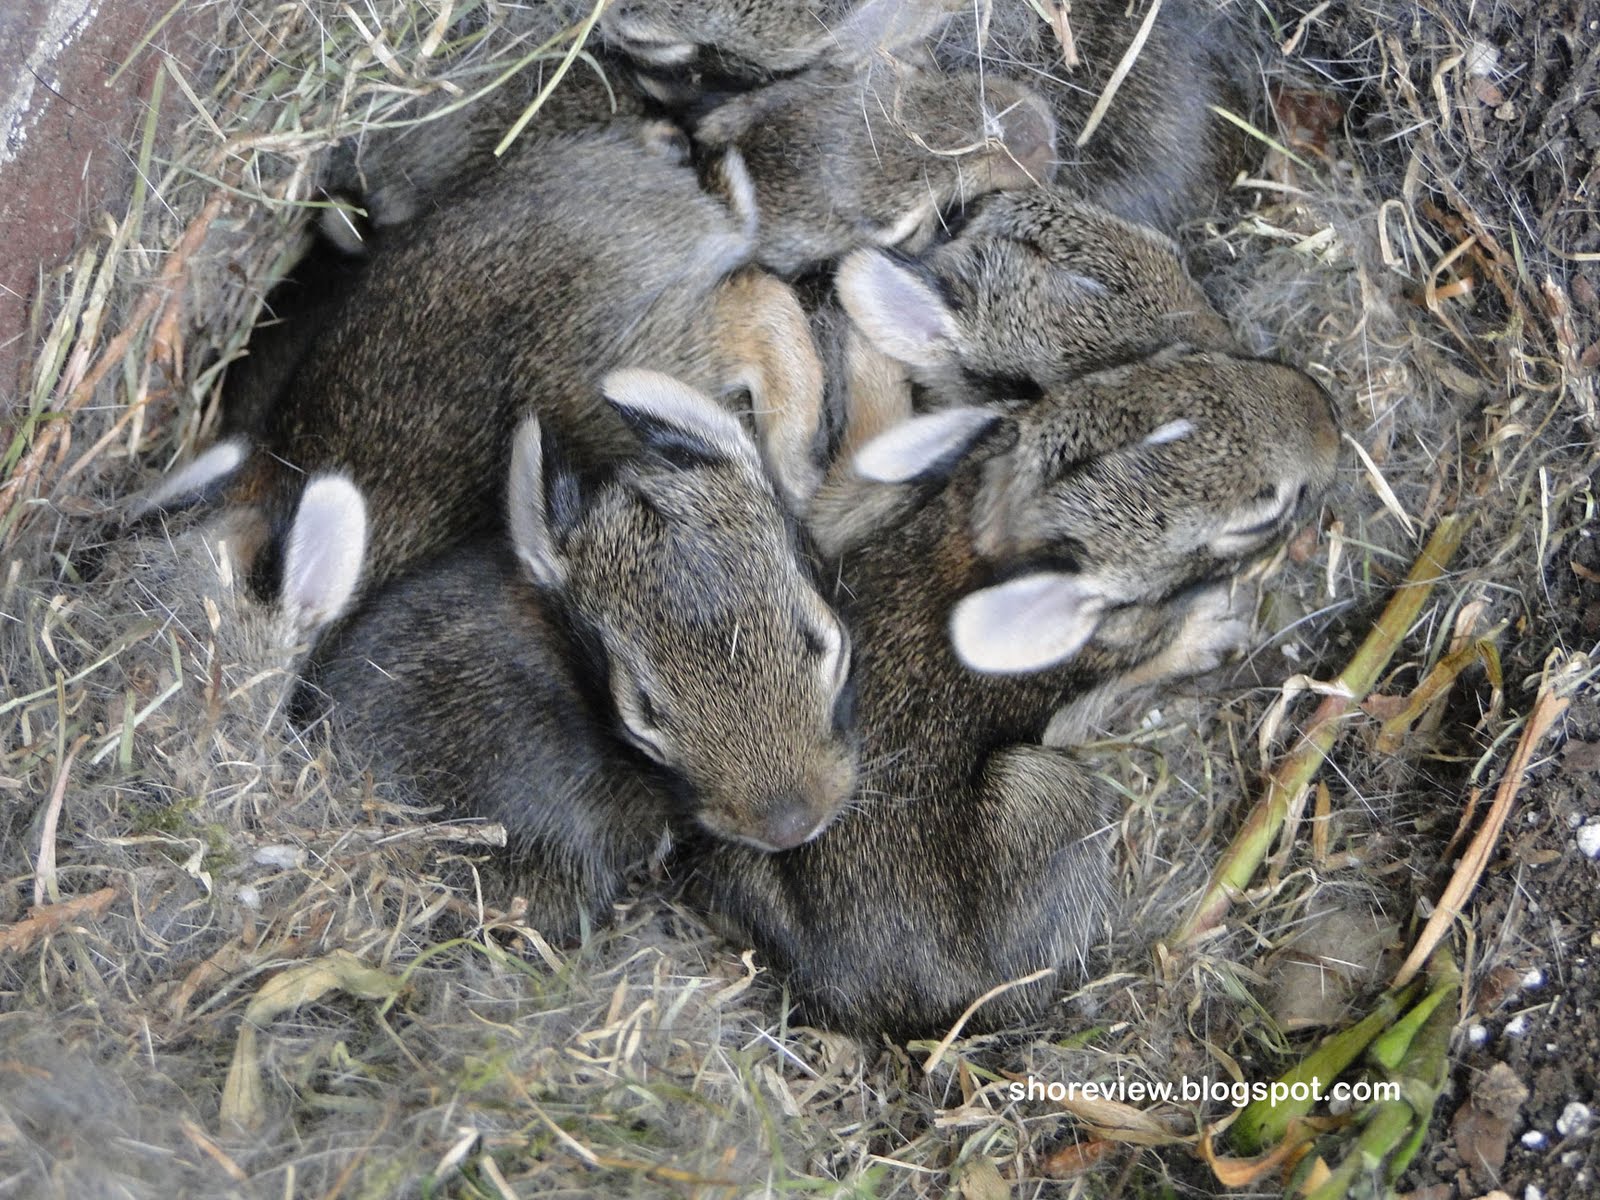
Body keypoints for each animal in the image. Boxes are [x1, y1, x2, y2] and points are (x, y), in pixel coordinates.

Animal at [687, 338, 1340, 1037]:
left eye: (1187, 359)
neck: (998, 535)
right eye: (1259, 516)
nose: (1326, 410)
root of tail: (895, 1007)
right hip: (1042, 791)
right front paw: (1213, 627)